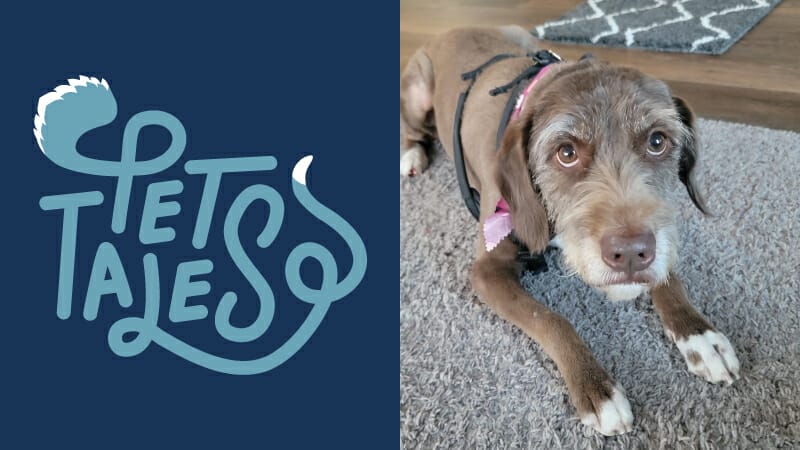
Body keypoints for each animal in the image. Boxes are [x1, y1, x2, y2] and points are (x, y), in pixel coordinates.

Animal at [400, 25, 744, 436]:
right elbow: (550, 319)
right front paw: (596, 388)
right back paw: (411, 154)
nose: (631, 253)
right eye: (566, 152)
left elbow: (668, 275)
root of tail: (450, 30)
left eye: (657, 141)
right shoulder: (485, 271)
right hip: (417, 93)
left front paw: (699, 334)